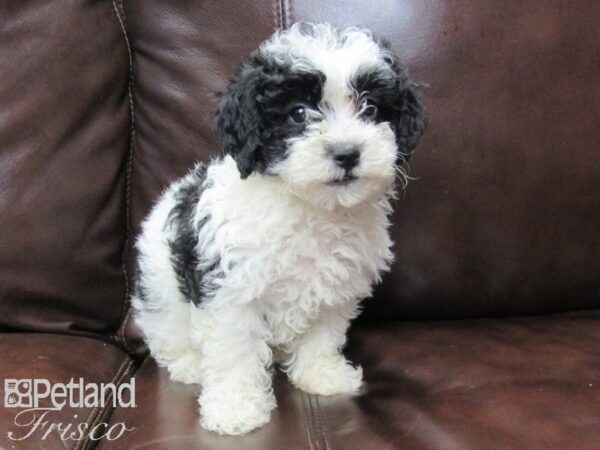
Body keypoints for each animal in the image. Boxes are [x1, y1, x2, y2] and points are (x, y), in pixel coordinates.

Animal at [131, 22, 424, 434]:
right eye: (298, 113)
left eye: (370, 107)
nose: (347, 153)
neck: (310, 208)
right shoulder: (231, 291)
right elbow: (234, 351)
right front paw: (235, 407)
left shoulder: (335, 287)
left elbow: (322, 335)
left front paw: (321, 375)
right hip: (162, 291)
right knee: (167, 336)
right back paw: (190, 364)